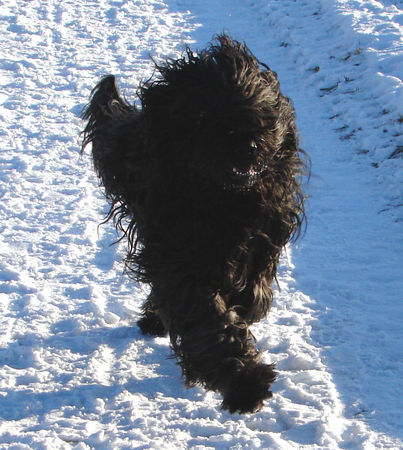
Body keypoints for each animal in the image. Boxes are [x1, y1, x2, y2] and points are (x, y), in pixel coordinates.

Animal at [82, 34, 306, 414]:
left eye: (258, 105)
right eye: (205, 114)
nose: (247, 145)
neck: (225, 198)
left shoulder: (266, 232)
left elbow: (252, 292)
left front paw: (245, 308)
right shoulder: (182, 257)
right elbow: (207, 321)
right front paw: (245, 382)